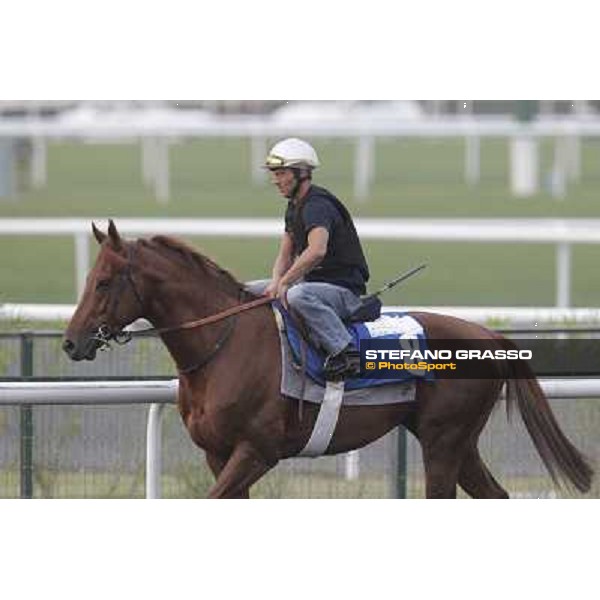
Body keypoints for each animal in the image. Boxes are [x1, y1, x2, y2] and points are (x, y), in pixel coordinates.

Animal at [62, 223, 592, 500]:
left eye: (104, 282)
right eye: (87, 278)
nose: (71, 342)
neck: (223, 346)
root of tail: (489, 335)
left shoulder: (258, 450)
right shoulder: (219, 454)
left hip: (444, 441)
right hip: (455, 442)